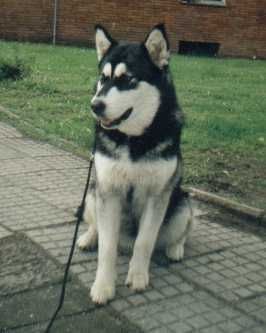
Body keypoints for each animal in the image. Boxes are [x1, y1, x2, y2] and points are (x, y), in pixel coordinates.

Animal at [77, 23, 193, 304]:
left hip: (182, 203)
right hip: (93, 192)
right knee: (96, 224)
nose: (95, 105)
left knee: (180, 231)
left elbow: (145, 242)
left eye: (127, 79)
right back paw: (89, 237)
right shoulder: (108, 191)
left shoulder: (157, 195)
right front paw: (103, 286)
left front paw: (138, 277)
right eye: (104, 78)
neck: (132, 140)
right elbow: (107, 246)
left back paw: (175, 248)